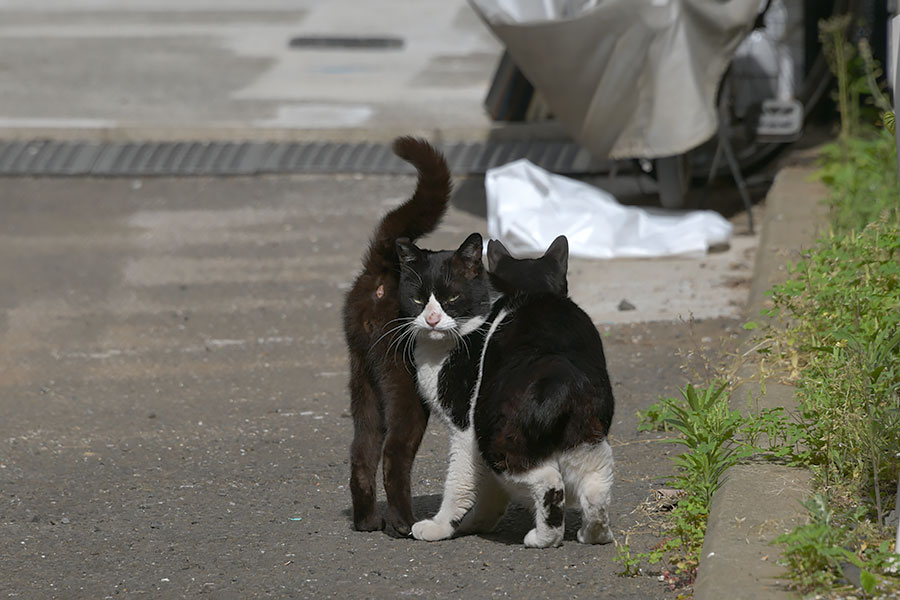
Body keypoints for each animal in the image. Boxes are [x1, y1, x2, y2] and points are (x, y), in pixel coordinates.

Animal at [344, 136, 458, 536]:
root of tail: (382, 269)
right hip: (402, 385)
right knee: (393, 453)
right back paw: (403, 524)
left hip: (362, 378)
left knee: (361, 451)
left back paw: (366, 521)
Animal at [398, 234, 616, 548]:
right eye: (417, 299)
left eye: (452, 299)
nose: (432, 320)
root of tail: (562, 374)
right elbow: (490, 490)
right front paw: (478, 523)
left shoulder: (465, 430)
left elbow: (460, 481)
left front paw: (441, 526)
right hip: (587, 437)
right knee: (597, 484)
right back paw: (594, 534)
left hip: (495, 435)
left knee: (548, 479)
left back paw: (543, 538)